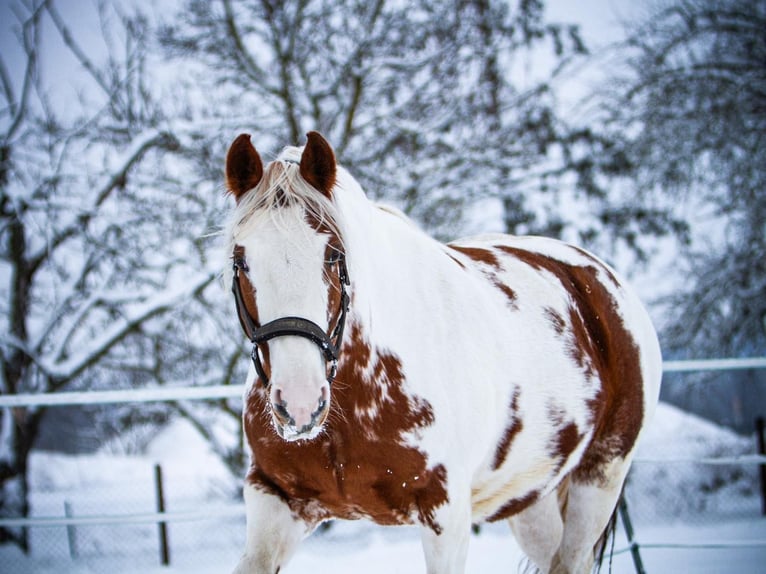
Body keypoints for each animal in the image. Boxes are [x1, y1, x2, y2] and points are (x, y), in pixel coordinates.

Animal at [223, 132, 662, 574]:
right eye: (240, 261)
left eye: (333, 255)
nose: (300, 404)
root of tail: (598, 276)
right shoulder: (274, 500)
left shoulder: (446, 515)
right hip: (531, 502)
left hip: (600, 477)